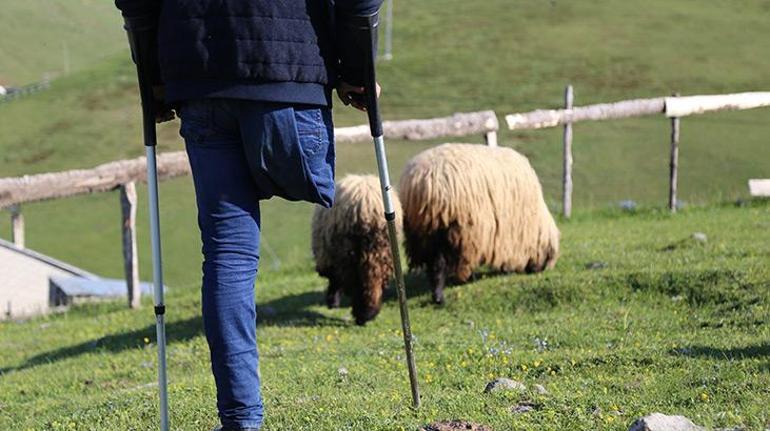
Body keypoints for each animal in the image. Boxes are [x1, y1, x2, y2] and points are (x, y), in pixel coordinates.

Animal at [308, 174, 402, 326]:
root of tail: (366, 205)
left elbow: (335, 281)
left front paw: (332, 301)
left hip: (348, 254)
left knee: (357, 283)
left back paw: (361, 314)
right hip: (381, 251)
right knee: (373, 281)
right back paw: (367, 312)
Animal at [400, 143, 556, 304]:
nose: (538, 270)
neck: (535, 221)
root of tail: (424, 181)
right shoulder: (509, 232)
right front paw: (506, 269)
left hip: (423, 233)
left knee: (432, 263)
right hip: (450, 228)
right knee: (439, 264)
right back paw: (440, 296)